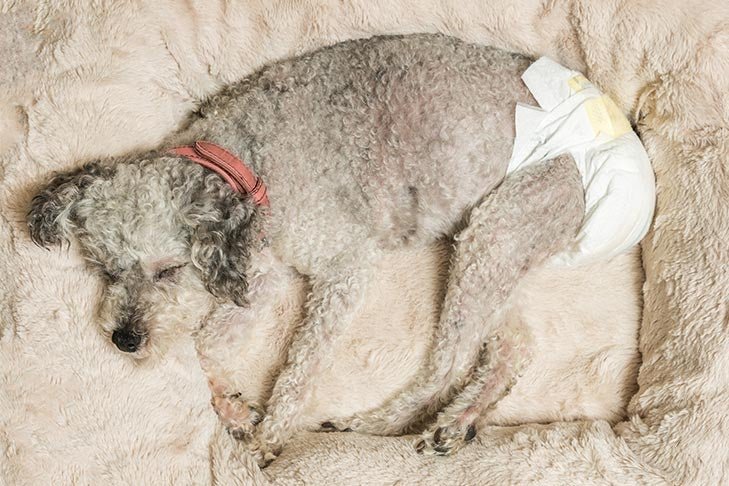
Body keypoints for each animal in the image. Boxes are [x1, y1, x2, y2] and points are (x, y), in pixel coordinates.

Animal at [27, 35, 584, 464]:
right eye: (105, 270)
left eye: (168, 270)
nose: (124, 339)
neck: (247, 160)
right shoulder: (259, 276)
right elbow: (204, 344)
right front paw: (233, 410)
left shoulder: (343, 271)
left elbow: (300, 367)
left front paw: (267, 438)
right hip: (493, 248)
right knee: (515, 347)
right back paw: (461, 421)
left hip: (502, 227)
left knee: (450, 361)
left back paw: (374, 424)